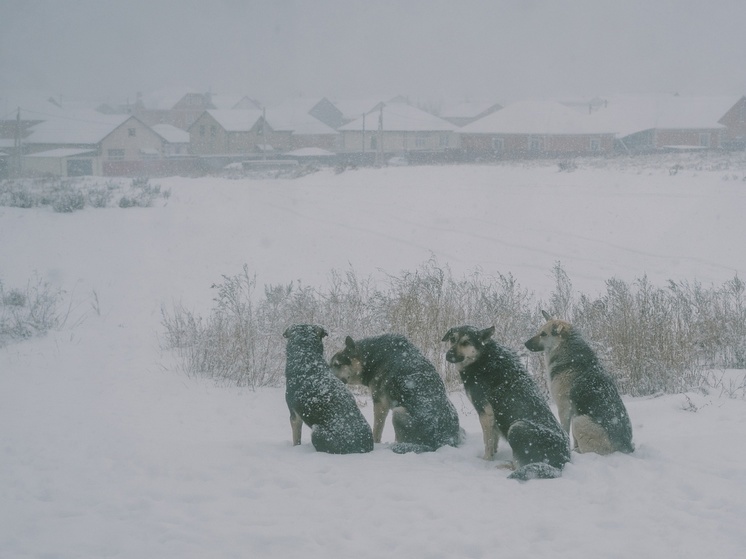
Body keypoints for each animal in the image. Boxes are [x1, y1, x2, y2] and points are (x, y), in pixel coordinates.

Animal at [326, 334, 456, 452]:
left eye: (337, 364)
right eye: (329, 365)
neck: (371, 358)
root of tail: (441, 440)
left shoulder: (380, 404)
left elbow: (377, 430)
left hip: (398, 412)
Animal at [524, 312, 632, 458]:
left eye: (543, 334)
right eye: (538, 332)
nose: (525, 343)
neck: (567, 353)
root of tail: (627, 446)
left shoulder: (564, 408)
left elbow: (564, 431)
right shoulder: (573, 411)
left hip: (580, 421)